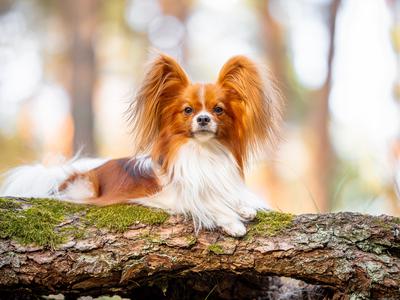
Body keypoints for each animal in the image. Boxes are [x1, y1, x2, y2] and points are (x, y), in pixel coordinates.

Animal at [0, 54, 282, 237]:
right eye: (188, 110)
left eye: (218, 110)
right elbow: (205, 202)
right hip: (85, 189)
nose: (203, 119)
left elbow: (224, 195)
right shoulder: (169, 195)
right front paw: (231, 221)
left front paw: (242, 207)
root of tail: (68, 173)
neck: (202, 151)